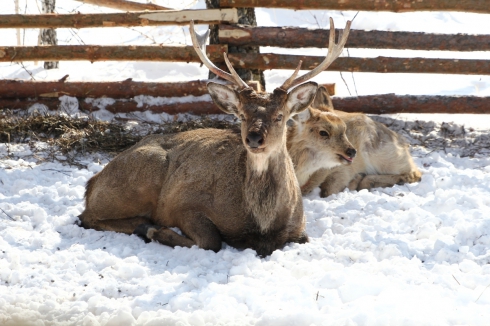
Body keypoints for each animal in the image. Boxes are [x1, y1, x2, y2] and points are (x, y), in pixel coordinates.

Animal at [77, 18, 352, 258]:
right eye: (242, 115)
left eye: (280, 116)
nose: (254, 138)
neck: (261, 223)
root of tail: (93, 182)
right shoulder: (184, 204)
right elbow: (212, 241)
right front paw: (156, 231)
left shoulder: (299, 225)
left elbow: (303, 238)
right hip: (140, 177)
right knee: (86, 217)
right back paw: (144, 226)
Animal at [288, 85, 422, 197]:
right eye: (323, 132)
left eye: (344, 129)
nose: (352, 152)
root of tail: (402, 141)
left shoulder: (341, 169)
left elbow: (328, 190)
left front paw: (354, 181)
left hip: (380, 154)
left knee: (415, 173)